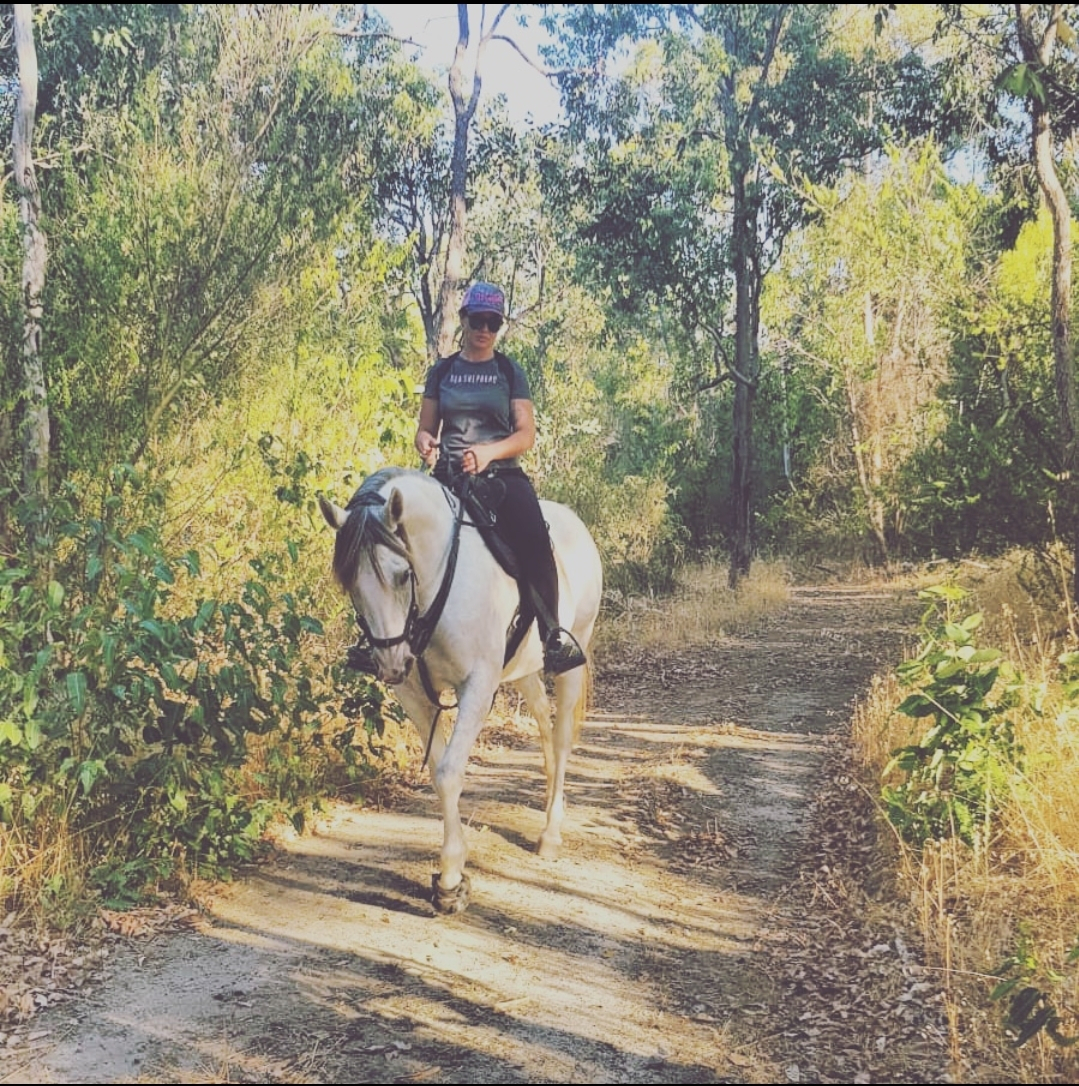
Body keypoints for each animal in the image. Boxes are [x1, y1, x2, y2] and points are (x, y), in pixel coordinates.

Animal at [319, 471, 607, 912]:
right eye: (350, 581)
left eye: (402, 574)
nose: (391, 663)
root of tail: (575, 521)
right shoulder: (414, 695)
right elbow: (439, 769)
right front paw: (452, 869)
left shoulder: (477, 686)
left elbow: (449, 771)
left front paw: (451, 880)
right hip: (522, 670)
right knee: (543, 722)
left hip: (574, 655)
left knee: (560, 738)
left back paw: (551, 833)